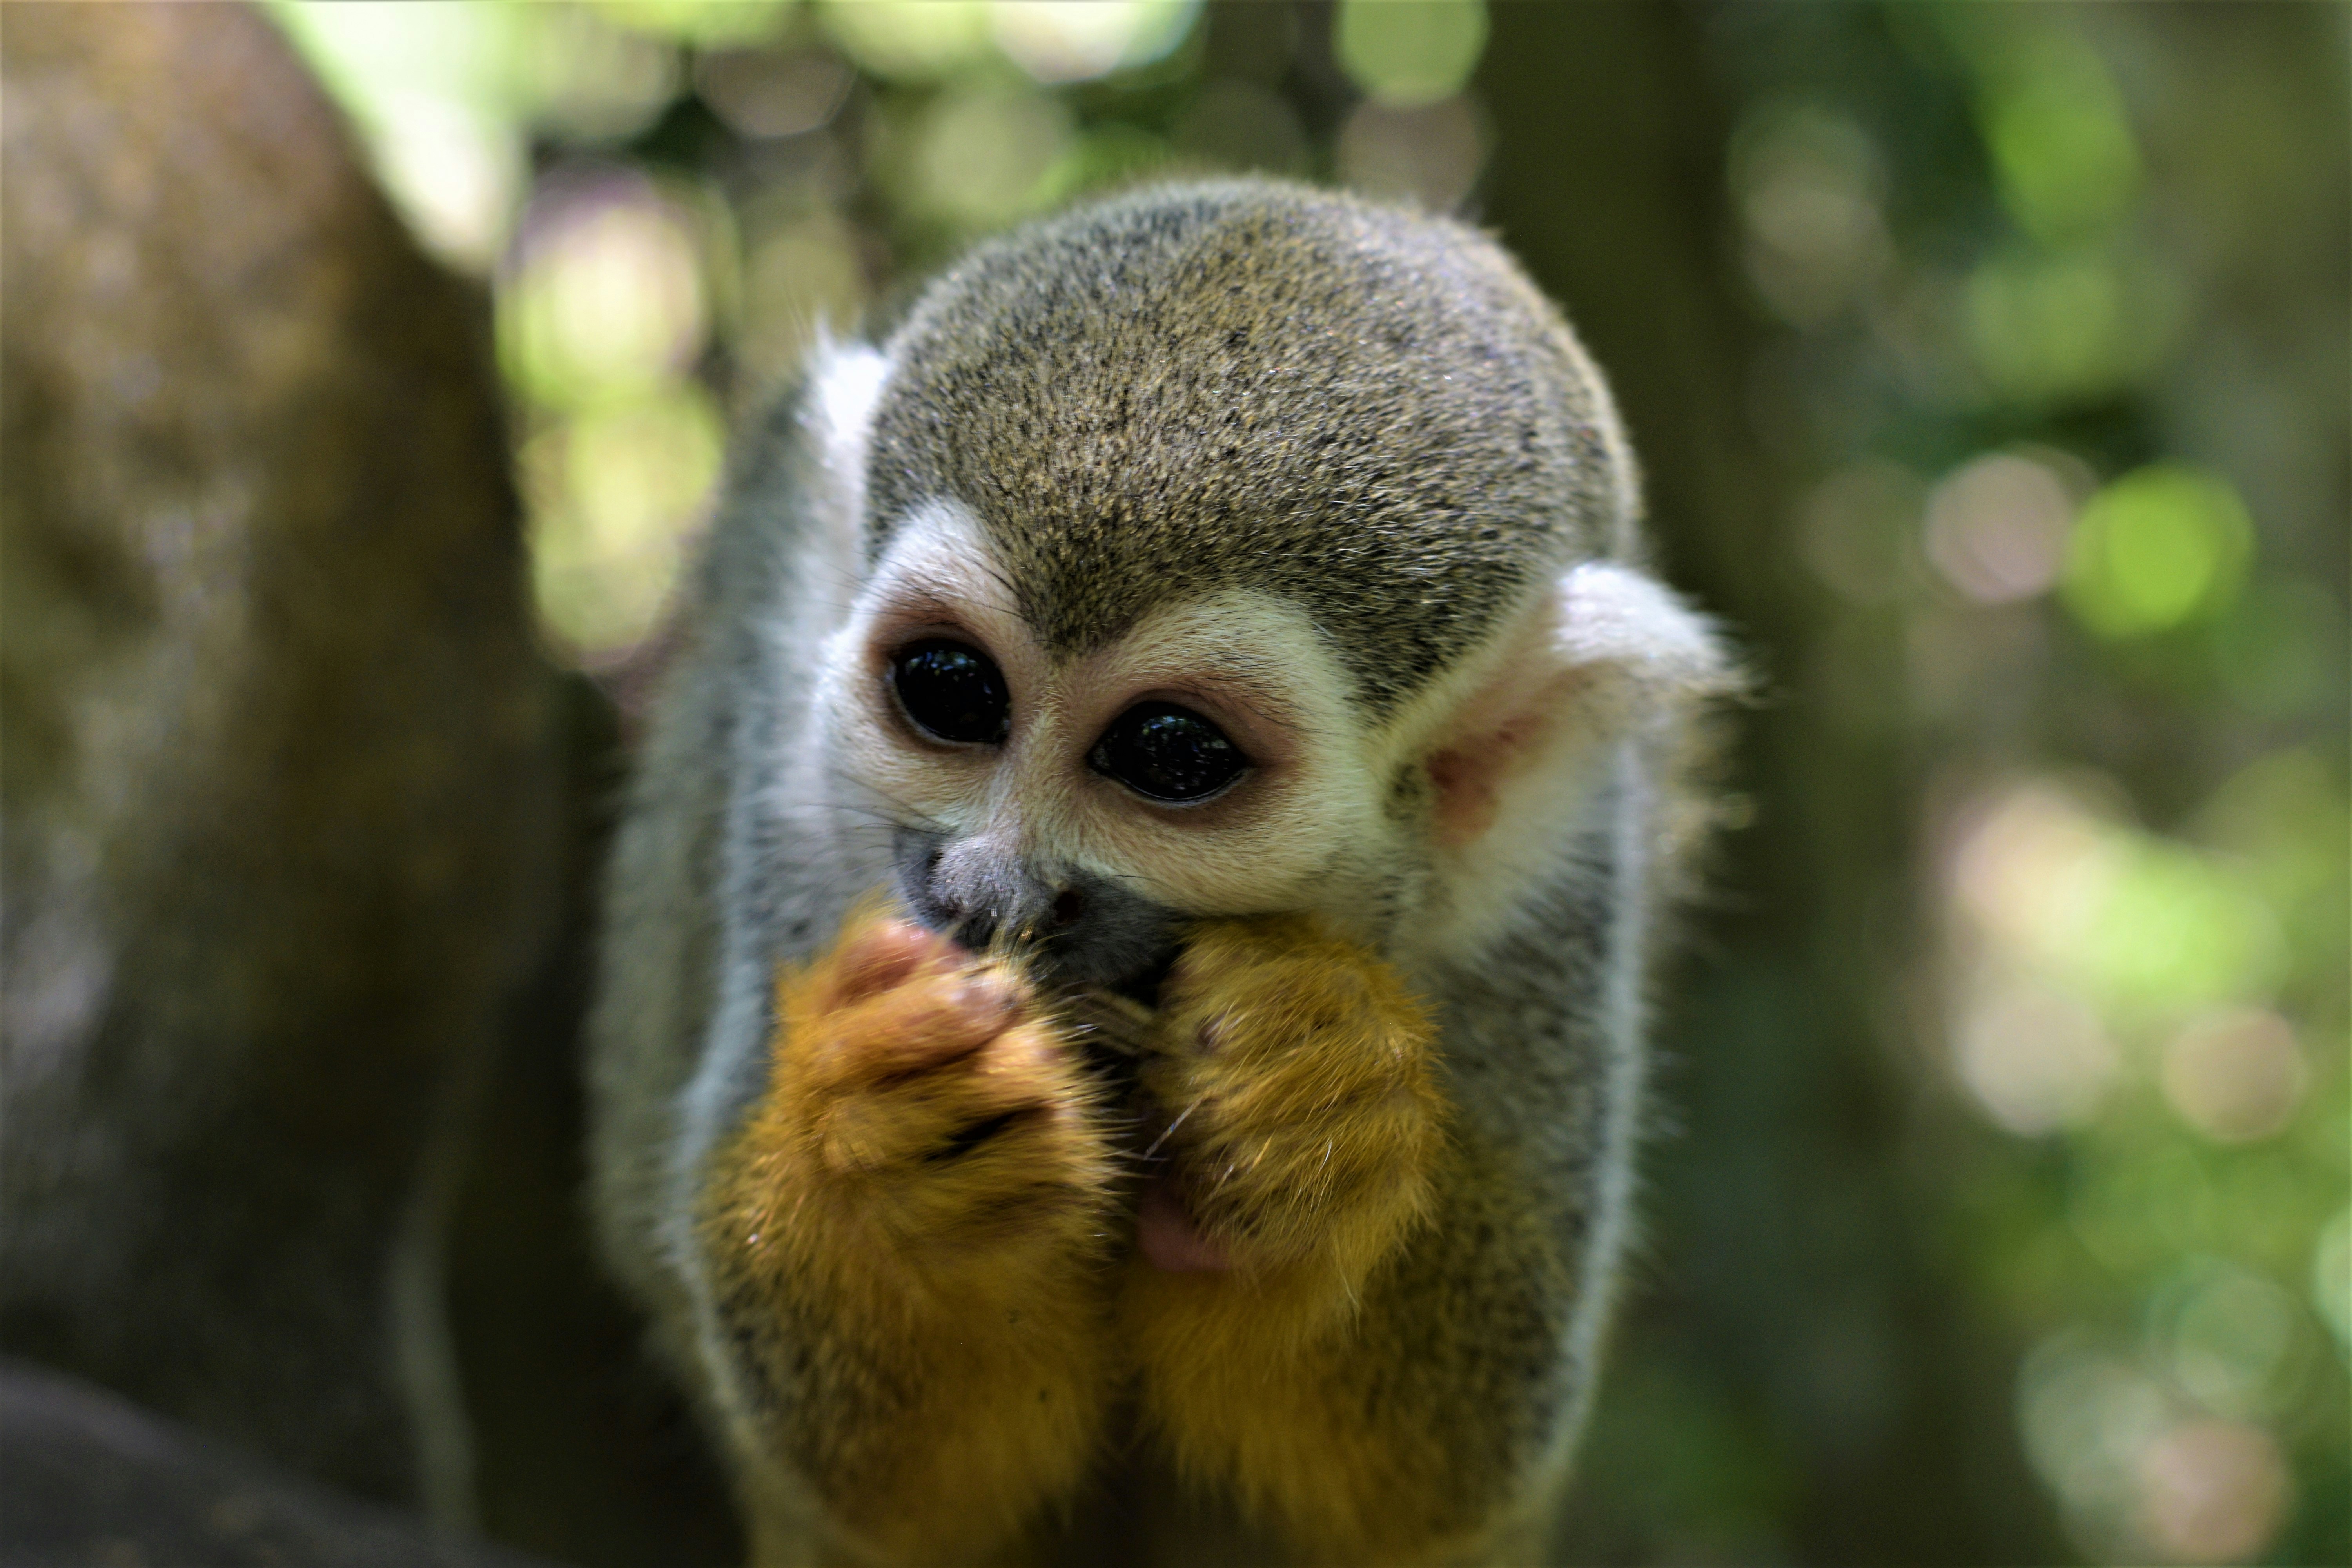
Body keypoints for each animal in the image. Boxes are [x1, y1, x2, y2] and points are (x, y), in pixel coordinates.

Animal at [587, 178, 1732, 1566]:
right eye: (948, 687)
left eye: (1171, 754)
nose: (986, 890)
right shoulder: (795, 780)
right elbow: (853, 1470)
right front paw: (891, 1138)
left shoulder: (1564, 862)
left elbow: (1459, 1461)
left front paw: (1313, 1113)